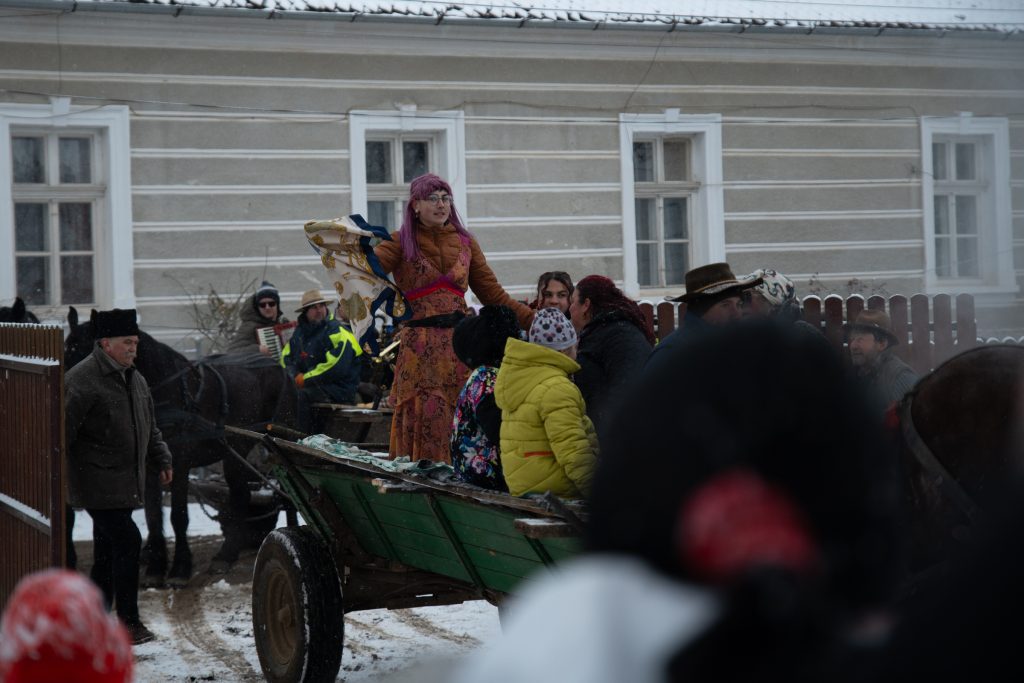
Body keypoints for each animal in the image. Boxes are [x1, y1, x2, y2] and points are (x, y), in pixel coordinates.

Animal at [66, 309, 294, 581]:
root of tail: (277, 366)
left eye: (83, 350)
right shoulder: (150, 466)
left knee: (253, 494)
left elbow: (178, 515)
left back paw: (227, 554)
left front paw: (180, 568)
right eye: (66, 349)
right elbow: (153, 515)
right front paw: (155, 566)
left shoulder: (181, 463)